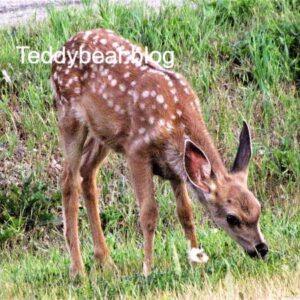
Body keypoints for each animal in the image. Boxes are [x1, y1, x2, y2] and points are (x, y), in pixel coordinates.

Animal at [50, 28, 268, 276]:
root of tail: (63, 47)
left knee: (87, 174)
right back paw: (78, 270)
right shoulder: (136, 150)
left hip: (102, 133)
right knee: (69, 179)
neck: (175, 117)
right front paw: (147, 269)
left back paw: (105, 260)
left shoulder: (175, 166)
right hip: (69, 116)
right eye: (232, 218)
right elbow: (149, 213)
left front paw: (197, 262)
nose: (261, 248)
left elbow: (186, 213)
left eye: (258, 209)